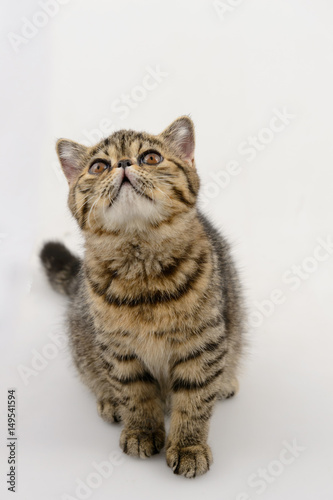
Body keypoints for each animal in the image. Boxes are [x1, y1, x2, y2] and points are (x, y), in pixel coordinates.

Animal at [40, 116, 244, 476]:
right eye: (98, 166)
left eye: (151, 158)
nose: (123, 163)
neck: (143, 270)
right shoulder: (119, 351)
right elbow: (135, 394)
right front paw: (142, 431)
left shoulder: (202, 346)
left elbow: (194, 401)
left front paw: (188, 446)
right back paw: (109, 401)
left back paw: (225, 383)